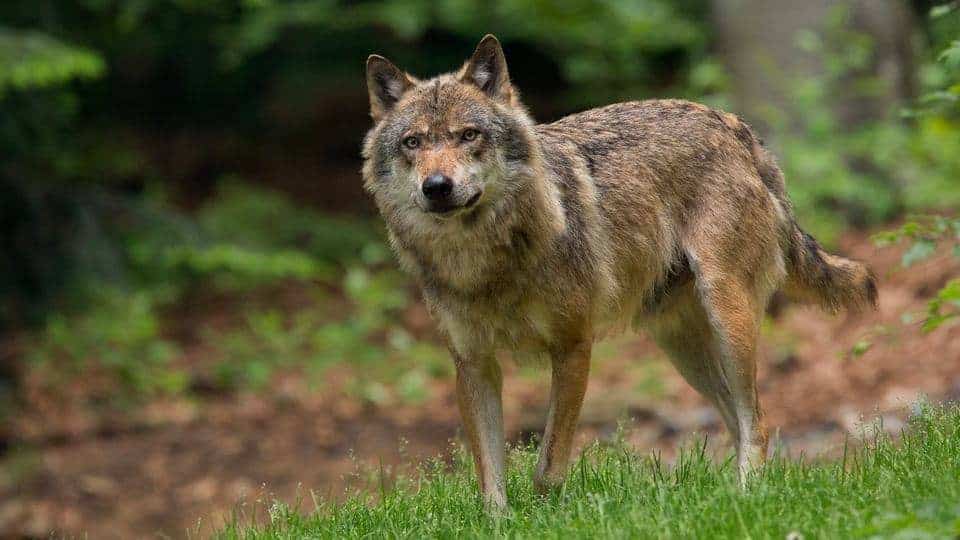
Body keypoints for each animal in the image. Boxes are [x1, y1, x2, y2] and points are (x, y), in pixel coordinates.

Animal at [361, 35, 877, 508]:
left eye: (468, 135)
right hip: (683, 349)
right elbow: (490, 481)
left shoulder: (572, 347)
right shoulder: (472, 365)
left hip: (727, 319)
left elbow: (548, 464)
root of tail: (732, 124)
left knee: (759, 421)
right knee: (735, 420)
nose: (436, 187)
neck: (483, 262)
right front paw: (501, 525)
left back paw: (747, 498)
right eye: (413, 143)